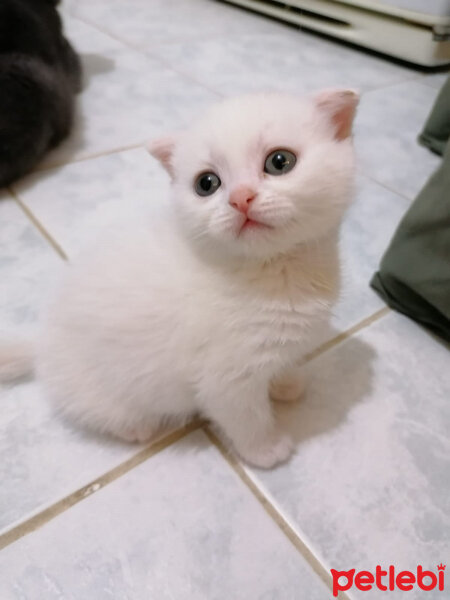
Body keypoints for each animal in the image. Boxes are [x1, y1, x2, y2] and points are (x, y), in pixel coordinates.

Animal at [0, 90, 358, 468]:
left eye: (279, 162)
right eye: (207, 184)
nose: (240, 198)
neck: (273, 271)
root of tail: (41, 345)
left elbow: (282, 364)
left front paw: (286, 384)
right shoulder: (227, 380)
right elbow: (247, 418)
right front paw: (267, 450)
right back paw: (137, 428)